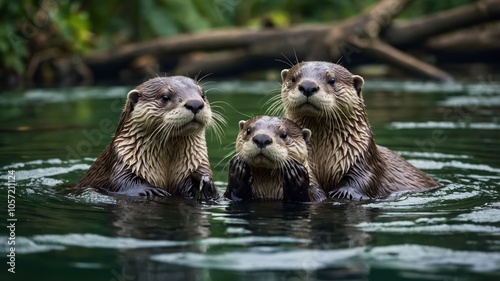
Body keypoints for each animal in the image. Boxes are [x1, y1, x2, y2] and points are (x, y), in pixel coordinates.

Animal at [75, 76, 221, 199]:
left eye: (203, 95)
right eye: (165, 97)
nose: (195, 103)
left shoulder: (197, 161)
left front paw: (204, 181)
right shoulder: (121, 161)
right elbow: (123, 181)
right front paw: (154, 191)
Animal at [280, 61, 440, 199]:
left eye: (332, 80)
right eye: (293, 79)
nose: (308, 85)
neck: (321, 159)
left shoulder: (362, 157)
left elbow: (364, 178)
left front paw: (343, 193)